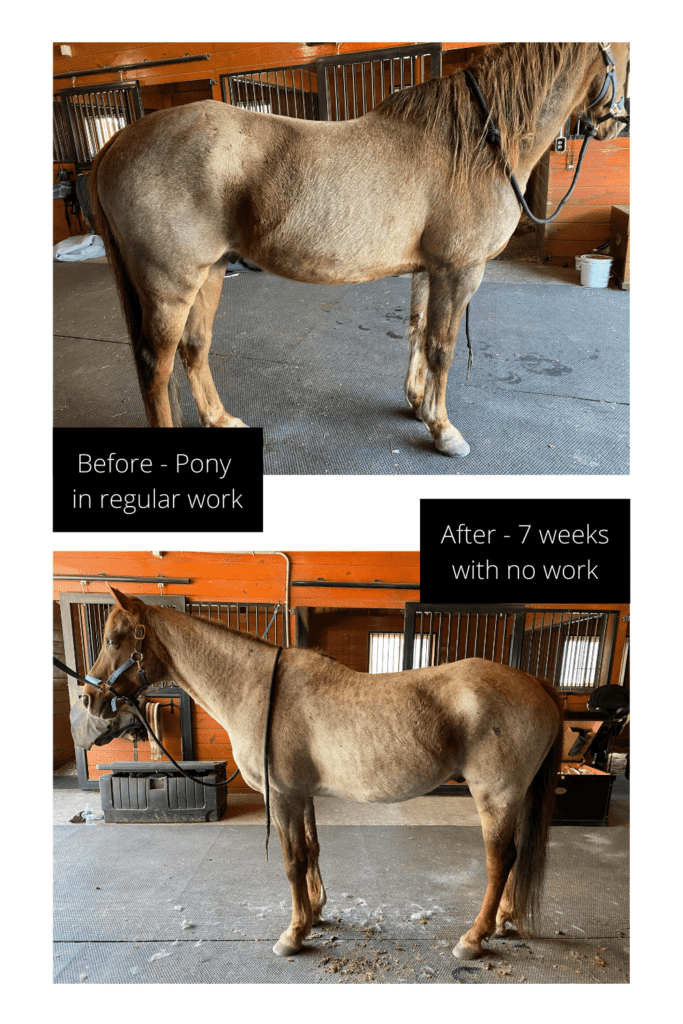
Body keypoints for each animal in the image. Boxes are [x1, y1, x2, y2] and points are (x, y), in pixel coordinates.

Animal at [82, 587, 564, 961]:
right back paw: (502, 921)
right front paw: (314, 912)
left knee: (500, 861)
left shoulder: (282, 795)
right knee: (514, 857)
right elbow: (311, 850)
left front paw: (293, 934)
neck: (257, 688)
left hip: (495, 796)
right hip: (515, 798)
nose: (89, 699)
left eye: (113, 639)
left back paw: (473, 938)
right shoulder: (303, 795)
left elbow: (292, 861)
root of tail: (535, 683)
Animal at [87, 43, 628, 457]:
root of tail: (118, 140)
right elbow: (442, 347)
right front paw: (443, 429)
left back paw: (221, 420)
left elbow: (416, 334)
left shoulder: (428, 269)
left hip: (211, 272)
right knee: (155, 365)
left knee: (194, 347)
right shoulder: (459, 271)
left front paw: (417, 405)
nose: (614, 125)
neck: (474, 145)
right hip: (170, 284)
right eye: (624, 55)